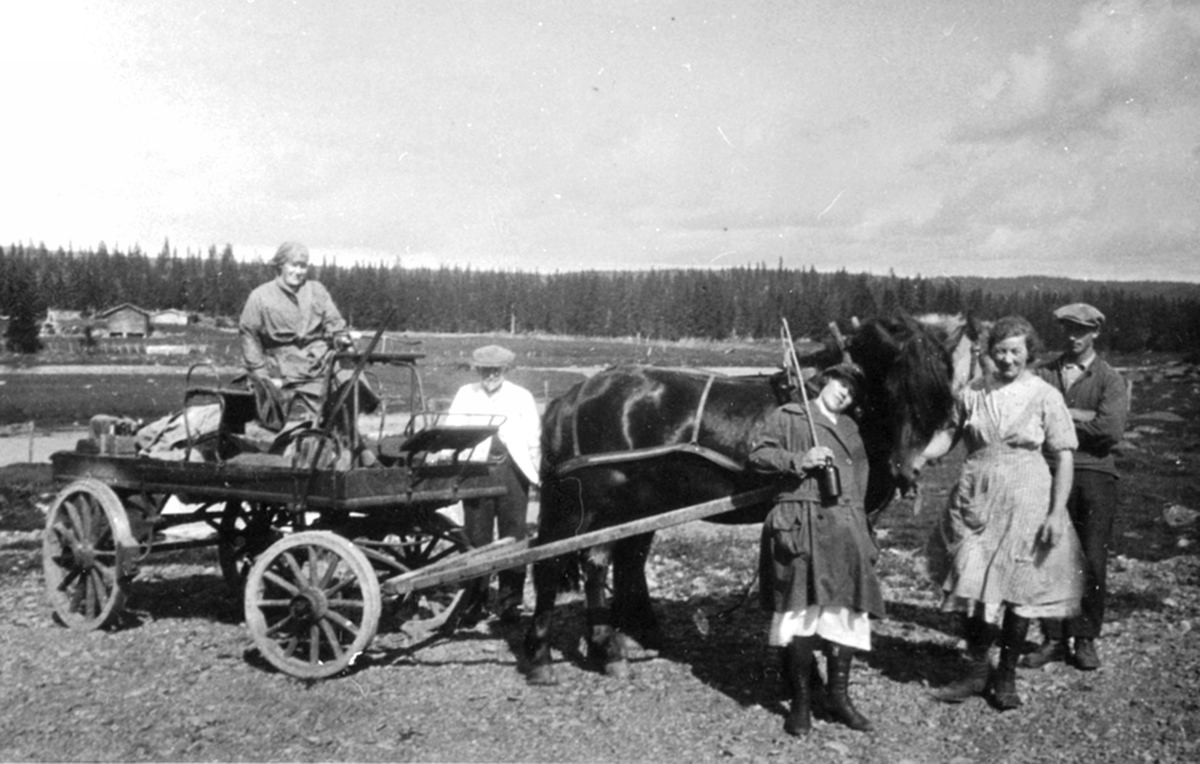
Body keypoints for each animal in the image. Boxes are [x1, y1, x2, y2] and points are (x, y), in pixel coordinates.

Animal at [525, 311, 974, 681]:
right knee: (565, 562)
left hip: (640, 503)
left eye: (940, 392)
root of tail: (574, 395)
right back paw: (550, 654)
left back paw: (629, 636)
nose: (906, 469)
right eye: (898, 385)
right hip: (590, 506)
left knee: (623, 560)